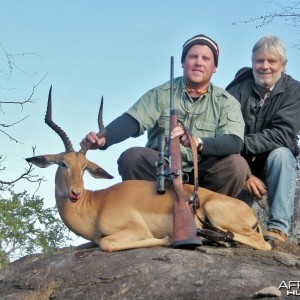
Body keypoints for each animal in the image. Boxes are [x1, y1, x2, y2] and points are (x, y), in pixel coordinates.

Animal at [25, 88, 270, 252]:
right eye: (63, 163)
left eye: (85, 167)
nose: (75, 192)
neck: (97, 203)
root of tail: (249, 213)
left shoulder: (135, 230)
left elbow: (106, 243)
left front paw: (168, 239)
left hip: (216, 212)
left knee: (259, 243)